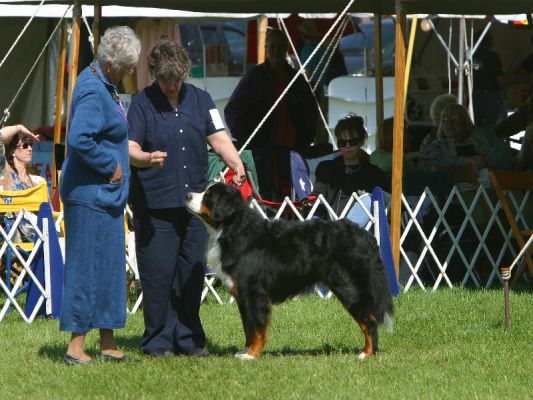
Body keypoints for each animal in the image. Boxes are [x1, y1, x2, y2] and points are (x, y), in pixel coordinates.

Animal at [186, 183, 390, 360]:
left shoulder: (254, 293)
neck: (233, 230)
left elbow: (257, 328)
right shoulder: (242, 296)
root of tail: (366, 236)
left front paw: (251, 355)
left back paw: (366, 354)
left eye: (208, 196)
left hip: (350, 289)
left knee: (370, 322)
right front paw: (244, 351)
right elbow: (248, 327)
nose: (187, 195)